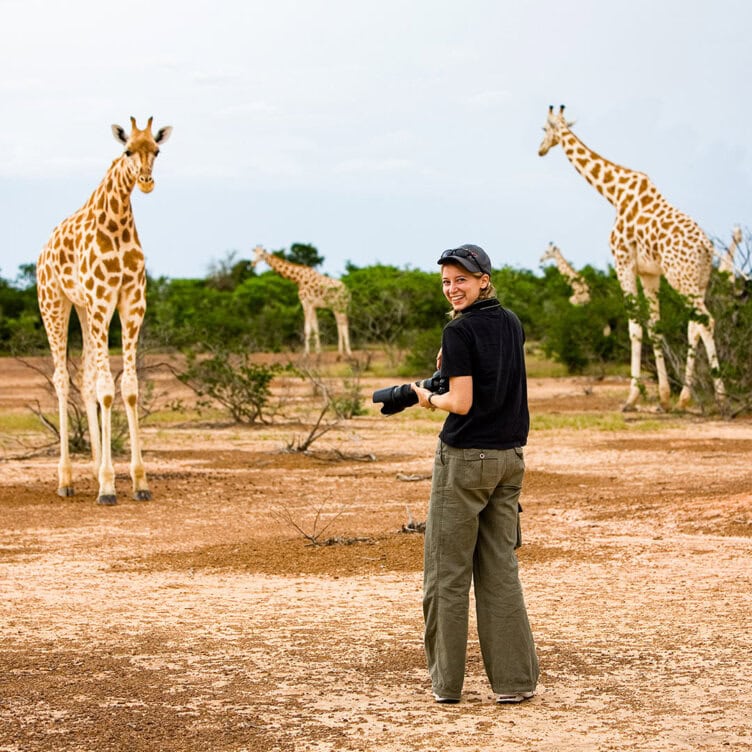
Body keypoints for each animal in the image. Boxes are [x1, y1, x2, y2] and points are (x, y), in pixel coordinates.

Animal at [36, 116, 172, 504]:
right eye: (127, 150)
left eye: (156, 150)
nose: (146, 181)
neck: (117, 224)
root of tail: (42, 252)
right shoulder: (102, 299)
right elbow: (107, 388)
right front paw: (109, 486)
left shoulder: (131, 300)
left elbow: (127, 387)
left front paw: (138, 481)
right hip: (54, 303)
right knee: (61, 379)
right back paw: (65, 479)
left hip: (83, 308)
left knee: (84, 379)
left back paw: (95, 468)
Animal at [539, 105, 725, 412]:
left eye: (544, 129)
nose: (540, 149)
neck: (615, 194)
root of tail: (707, 249)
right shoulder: (649, 272)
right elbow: (655, 325)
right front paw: (663, 397)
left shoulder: (623, 261)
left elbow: (634, 326)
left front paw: (631, 397)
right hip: (700, 280)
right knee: (694, 325)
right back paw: (685, 397)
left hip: (681, 278)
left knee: (705, 321)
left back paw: (720, 397)